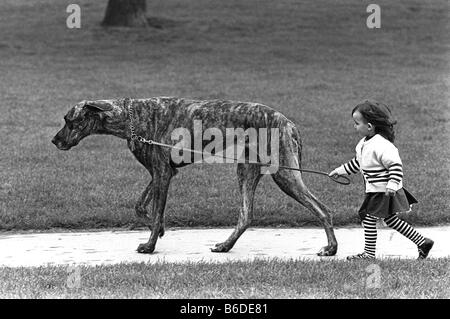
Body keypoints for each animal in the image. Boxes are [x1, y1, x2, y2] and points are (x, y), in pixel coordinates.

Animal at [52, 96, 338, 256]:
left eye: (69, 120)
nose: (54, 141)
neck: (130, 117)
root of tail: (288, 122)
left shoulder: (162, 173)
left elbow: (156, 212)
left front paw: (150, 246)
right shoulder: (164, 172)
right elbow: (142, 207)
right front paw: (160, 230)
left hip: (285, 175)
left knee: (322, 208)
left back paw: (331, 249)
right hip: (246, 170)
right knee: (246, 214)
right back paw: (225, 246)